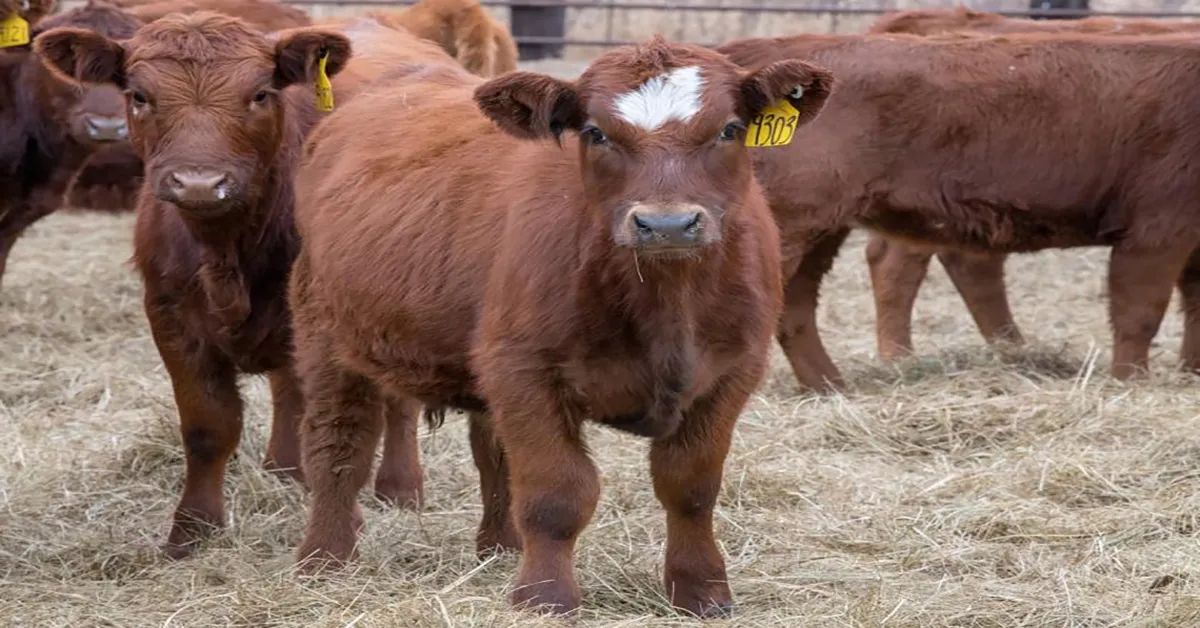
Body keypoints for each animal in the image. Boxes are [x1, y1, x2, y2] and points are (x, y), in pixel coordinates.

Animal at [36, 12, 455, 558]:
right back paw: (282, 469)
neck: (227, 248)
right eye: (140, 95)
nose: (198, 182)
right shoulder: (170, 317)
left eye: (259, 94)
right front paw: (192, 530)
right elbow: (208, 425)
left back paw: (400, 487)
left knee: (397, 403)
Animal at [287, 37, 831, 615]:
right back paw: (325, 557)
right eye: (595, 133)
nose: (665, 224)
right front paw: (545, 594)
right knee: (338, 448)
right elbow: (557, 492)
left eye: (729, 129)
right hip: (326, 339)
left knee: (493, 455)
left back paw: (501, 547)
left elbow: (691, 487)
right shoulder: (526, 370)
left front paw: (701, 590)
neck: (667, 302)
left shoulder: (731, 374)